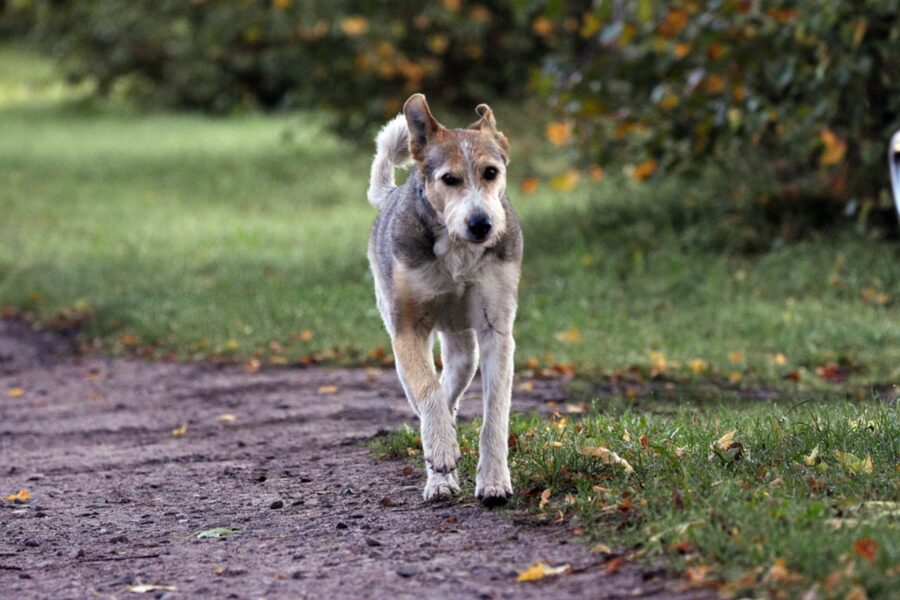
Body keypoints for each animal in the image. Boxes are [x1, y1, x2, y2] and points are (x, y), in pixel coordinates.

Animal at [366, 95, 524, 506]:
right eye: (449, 179)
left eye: (490, 172)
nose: (481, 224)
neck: (458, 251)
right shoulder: (407, 330)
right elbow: (427, 390)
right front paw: (440, 451)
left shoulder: (495, 330)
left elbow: (495, 413)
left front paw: (494, 481)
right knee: (428, 394)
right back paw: (439, 475)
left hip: (463, 344)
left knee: (453, 382)